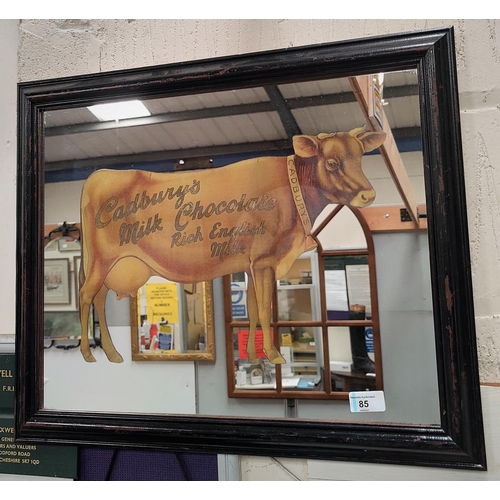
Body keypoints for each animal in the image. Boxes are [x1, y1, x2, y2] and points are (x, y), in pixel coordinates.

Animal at [78, 126, 384, 364]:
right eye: (332, 163)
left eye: (360, 157)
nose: (368, 194)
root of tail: (98, 175)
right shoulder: (264, 260)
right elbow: (264, 309)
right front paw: (274, 355)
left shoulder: (251, 265)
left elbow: (252, 308)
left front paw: (254, 355)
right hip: (100, 262)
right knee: (85, 296)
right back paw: (89, 354)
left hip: (106, 268)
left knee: (99, 299)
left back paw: (112, 353)